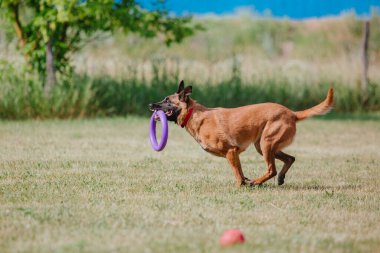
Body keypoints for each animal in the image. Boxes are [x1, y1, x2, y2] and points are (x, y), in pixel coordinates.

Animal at [148, 81, 332, 188]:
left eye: (167, 100)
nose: (150, 105)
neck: (194, 114)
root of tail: (292, 113)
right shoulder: (235, 154)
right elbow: (241, 172)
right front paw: (244, 182)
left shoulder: (231, 151)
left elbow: (237, 174)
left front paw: (239, 187)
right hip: (264, 146)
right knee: (290, 159)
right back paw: (279, 178)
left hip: (266, 144)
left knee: (271, 169)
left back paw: (257, 182)